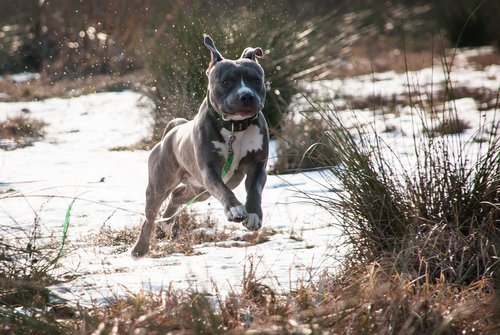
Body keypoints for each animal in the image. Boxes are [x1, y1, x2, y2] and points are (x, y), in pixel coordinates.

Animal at [131, 34, 268, 258]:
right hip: (160, 185)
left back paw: (167, 223)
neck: (234, 127)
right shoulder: (210, 170)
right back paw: (140, 249)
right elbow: (223, 191)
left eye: (255, 80)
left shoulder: (258, 166)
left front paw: (254, 214)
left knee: (178, 196)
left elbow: (255, 190)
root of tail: (172, 131)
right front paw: (235, 209)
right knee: (150, 217)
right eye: (227, 81)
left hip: (200, 190)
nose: (246, 95)